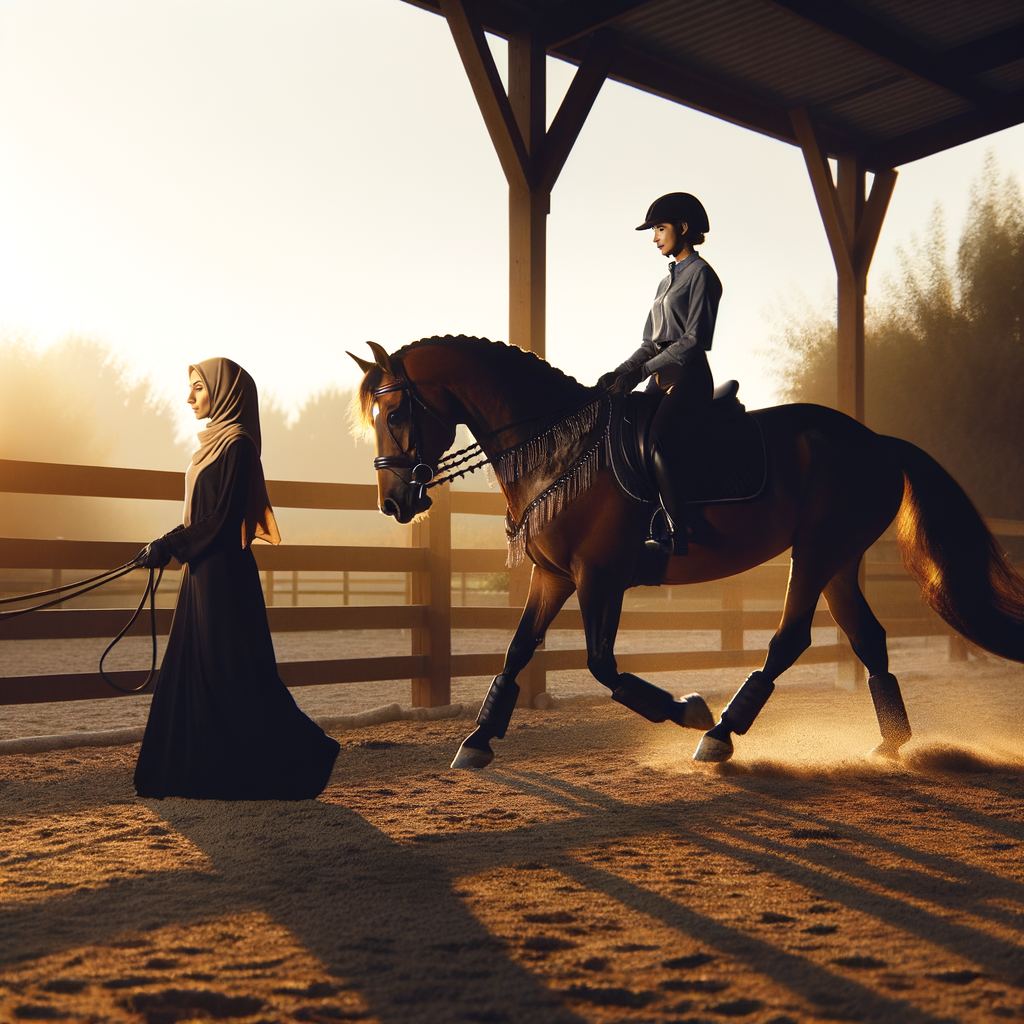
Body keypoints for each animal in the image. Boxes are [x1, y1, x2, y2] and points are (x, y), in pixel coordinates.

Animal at [352, 335, 1024, 770]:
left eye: (397, 410)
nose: (394, 502)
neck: (559, 447)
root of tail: (877, 440)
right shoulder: (553, 576)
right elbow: (517, 651)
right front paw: (477, 741)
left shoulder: (599, 575)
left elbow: (602, 664)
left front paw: (689, 709)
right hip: (836, 559)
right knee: (868, 637)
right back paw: (891, 744)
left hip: (816, 550)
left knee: (791, 639)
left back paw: (722, 733)